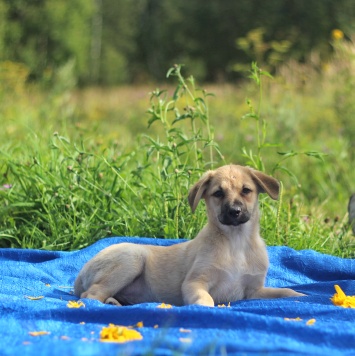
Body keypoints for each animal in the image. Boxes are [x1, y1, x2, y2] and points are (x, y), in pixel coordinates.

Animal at [74, 164, 304, 306]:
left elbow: (284, 292)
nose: (235, 212)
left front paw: (301, 295)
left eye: (246, 190)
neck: (236, 242)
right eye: (218, 193)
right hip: (131, 259)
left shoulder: (254, 291)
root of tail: (82, 270)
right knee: (90, 294)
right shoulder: (195, 282)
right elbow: (206, 299)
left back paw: (115, 302)